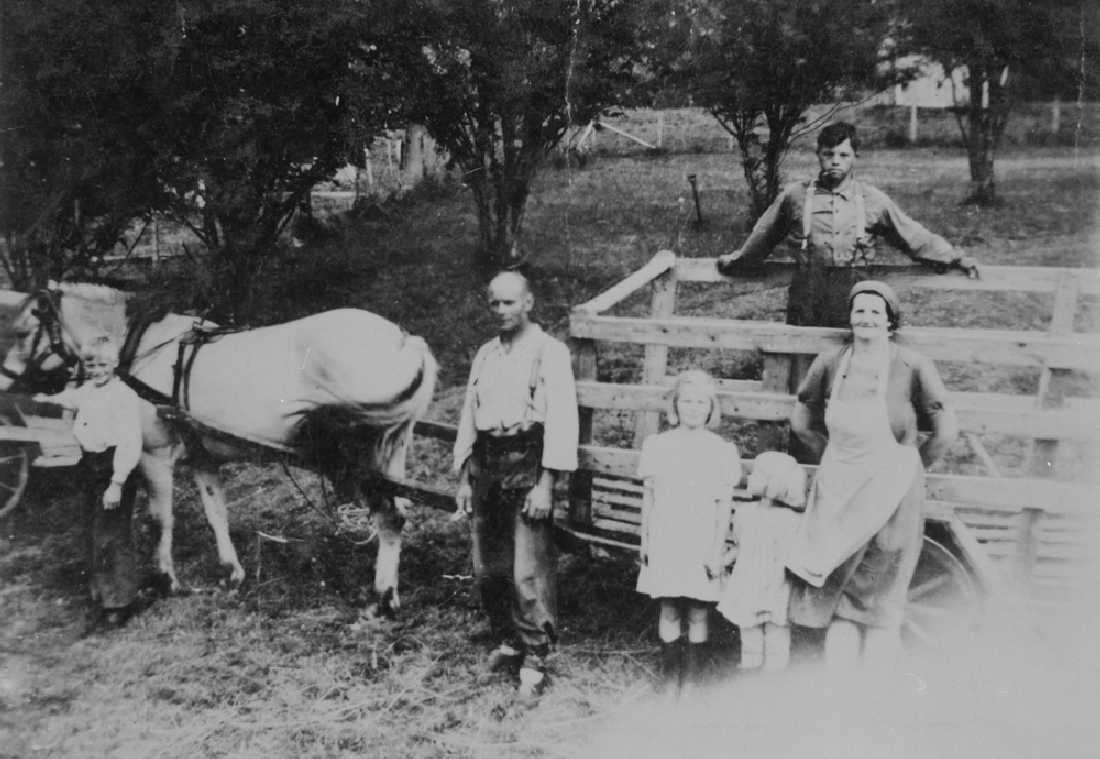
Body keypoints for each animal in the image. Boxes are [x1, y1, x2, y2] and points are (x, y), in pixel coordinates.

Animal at [0, 283, 437, 616]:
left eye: (21, 332)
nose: (5, 386)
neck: (143, 349)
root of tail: (404, 341)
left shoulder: (153, 456)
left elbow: (162, 520)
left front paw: (168, 579)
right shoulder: (202, 457)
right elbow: (216, 514)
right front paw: (231, 571)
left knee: (389, 516)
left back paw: (382, 597)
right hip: (391, 451)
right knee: (396, 515)